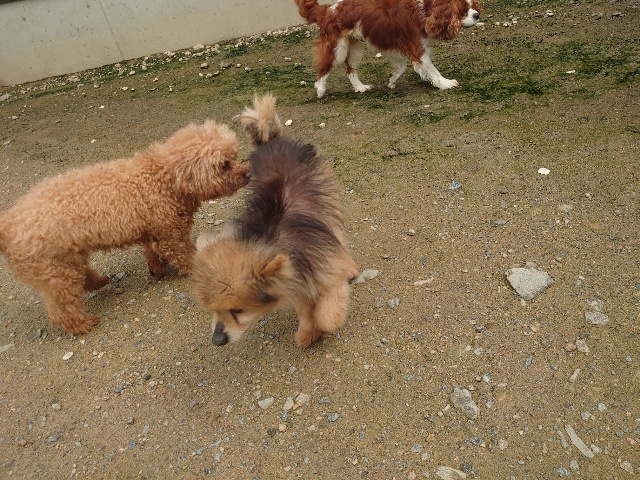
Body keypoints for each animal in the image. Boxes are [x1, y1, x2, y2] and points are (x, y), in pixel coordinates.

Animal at [0, 120, 250, 335]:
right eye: (224, 165)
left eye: (235, 157)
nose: (247, 173)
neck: (165, 177)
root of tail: (8, 224)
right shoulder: (170, 234)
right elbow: (183, 255)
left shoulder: (152, 232)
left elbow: (152, 252)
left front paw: (156, 270)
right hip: (55, 269)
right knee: (61, 307)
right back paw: (82, 324)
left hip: (69, 259)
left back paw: (99, 281)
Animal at [191, 94, 359, 348]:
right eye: (213, 310)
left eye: (237, 310)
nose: (217, 340)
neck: (270, 237)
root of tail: (272, 140)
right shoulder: (293, 282)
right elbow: (305, 309)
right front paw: (308, 331)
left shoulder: (322, 266)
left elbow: (328, 312)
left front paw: (326, 321)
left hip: (327, 201)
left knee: (337, 233)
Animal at [294, 0, 482, 98]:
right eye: (464, 10)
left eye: (473, 6)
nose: (477, 15)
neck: (426, 8)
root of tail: (327, 8)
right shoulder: (419, 50)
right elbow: (433, 71)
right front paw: (445, 83)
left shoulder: (396, 48)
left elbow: (402, 67)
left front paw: (392, 80)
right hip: (338, 48)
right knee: (324, 69)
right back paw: (320, 90)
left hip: (355, 48)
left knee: (350, 71)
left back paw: (360, 88)